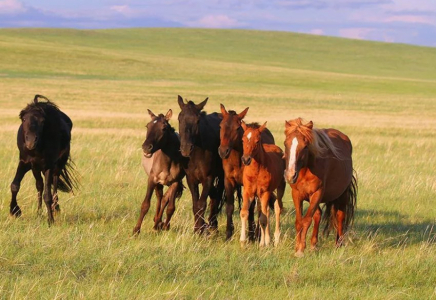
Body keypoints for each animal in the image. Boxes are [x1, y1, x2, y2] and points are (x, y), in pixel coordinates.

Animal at [9, 95, 77, 224]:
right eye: (24, 119)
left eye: (42, 121)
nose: (31, 142)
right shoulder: (25, 163)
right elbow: (15, 185)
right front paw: (15, 211)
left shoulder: (48, 166)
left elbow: (47, 195)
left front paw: (50, 220)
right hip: (35, 168)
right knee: (39, 185)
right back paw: (39, 213)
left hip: (58, 165)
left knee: (54, 183)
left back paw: (55, 207)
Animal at [176, 96, 225, 234]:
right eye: (179, 118)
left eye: (197, 121)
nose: (186, 148)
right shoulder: (191, 179)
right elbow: (195, 204)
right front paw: (197, 228)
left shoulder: (208, 178)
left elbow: (201, 204)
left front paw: (200, 230)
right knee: (214, 195)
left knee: (217, 196)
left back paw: (213, 225)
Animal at [218, 104, 276, 240]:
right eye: (221, 125)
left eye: (237, 127)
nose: (223, 151)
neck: (238, 159)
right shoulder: (228, 181)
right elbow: (230, 207)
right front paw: (228, 234)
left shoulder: (250, 185)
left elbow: (251, 209)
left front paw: (251, 235)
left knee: (260, 209)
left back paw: (257, 234)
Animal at [282, 118, 358, 256]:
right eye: (286, 144)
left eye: (305, 146)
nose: (290, 175)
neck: (305, 170)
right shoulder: (297, 194)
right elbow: (299, 221)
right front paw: (297, 247)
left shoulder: (317, 193)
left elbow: (306, 220)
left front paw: (300, 250)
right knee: (318, 215)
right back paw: (313, 245)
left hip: (342, 195)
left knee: (340, 216)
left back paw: (338, 244)